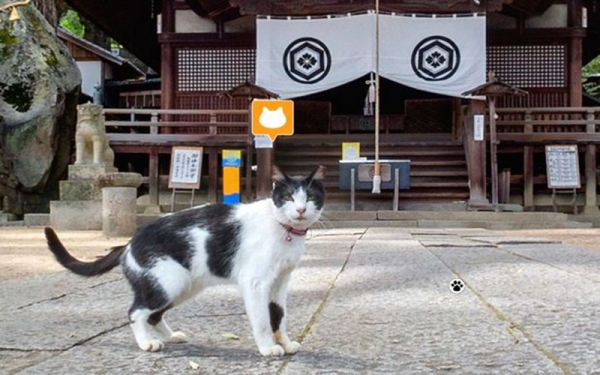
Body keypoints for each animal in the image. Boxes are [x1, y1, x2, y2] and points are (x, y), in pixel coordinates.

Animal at [44, 167, 326, 358]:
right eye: (288, 197)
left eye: (311, 196)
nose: (301, 210)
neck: (284, 230)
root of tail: (129, 243)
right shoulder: (256, 283)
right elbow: (262, 320)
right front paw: (268, 347)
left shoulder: (280, 281)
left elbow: (279, 316)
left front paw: (285, 343)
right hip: (167, 283)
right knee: (135, 312)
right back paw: (146, 343)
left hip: (182, 286)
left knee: (154, 315)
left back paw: (172, 336)